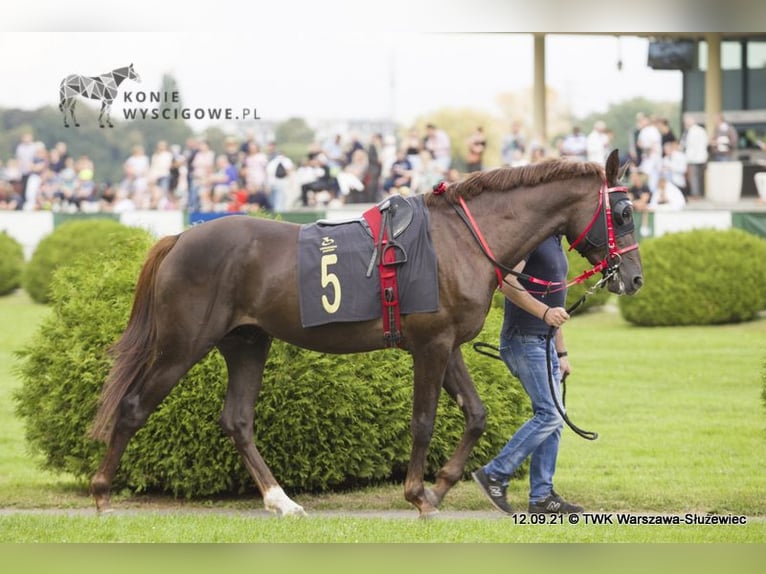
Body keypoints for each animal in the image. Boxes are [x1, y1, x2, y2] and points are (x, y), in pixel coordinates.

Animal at [88, 151, 640, 520]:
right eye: (625, 212)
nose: (633, 278)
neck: (461, 239)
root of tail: (180, 236)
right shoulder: (430, 345)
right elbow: (423, 422)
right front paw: (419, 495)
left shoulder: (449, 345)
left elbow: (477, 414)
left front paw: (440, 488)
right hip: (182, 344)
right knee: (133, 407)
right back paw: (101, 490)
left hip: (247, 342)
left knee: (238, 420)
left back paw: (281, 500)